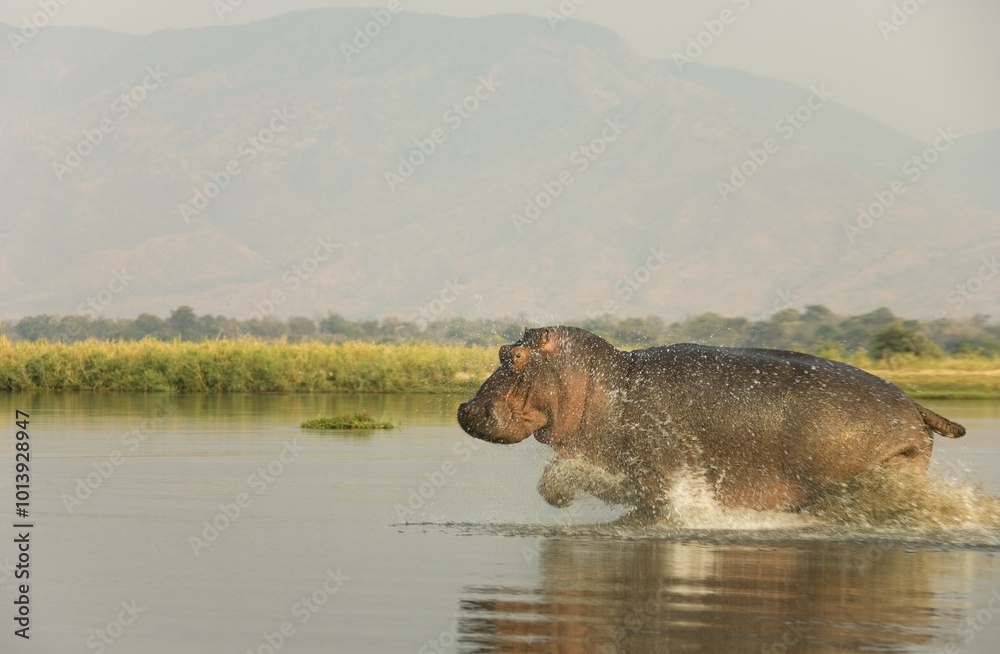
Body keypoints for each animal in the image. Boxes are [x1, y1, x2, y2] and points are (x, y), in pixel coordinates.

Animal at [456, 326, 965, 514]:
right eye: (501, 348)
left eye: (514, 356)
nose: (464, 408)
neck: (603, 381)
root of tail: (913, 405)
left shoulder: (656, 473)